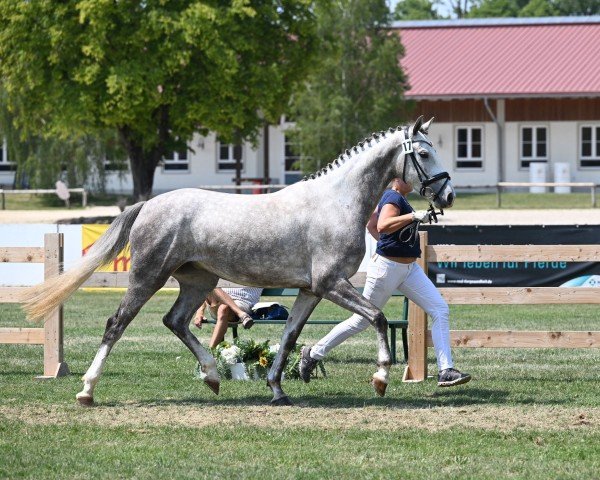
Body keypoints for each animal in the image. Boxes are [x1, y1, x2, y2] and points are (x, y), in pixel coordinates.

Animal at [22, 116, 454, 404]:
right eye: (425, 153)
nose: (448, 195)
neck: (335, 203)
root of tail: (149, 205)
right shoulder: (332, 284)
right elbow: (377, 317)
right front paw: (380, 378)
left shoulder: (311, 290)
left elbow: (289, 336)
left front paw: (277, 389)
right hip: (148, 276)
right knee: (117, 324)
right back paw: (87, 390)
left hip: (199, 282)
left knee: (175, 321)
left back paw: (213, 377)